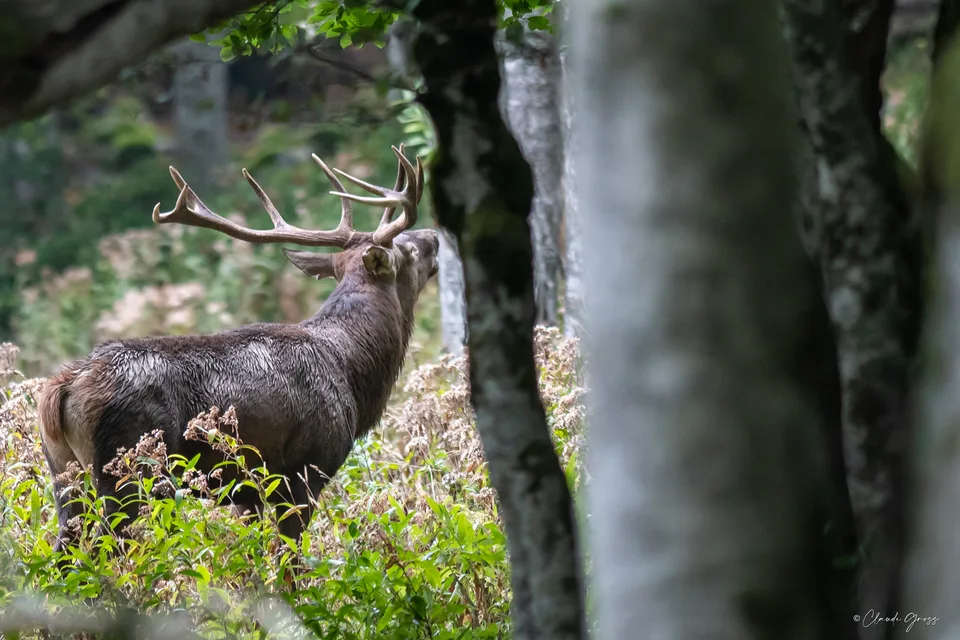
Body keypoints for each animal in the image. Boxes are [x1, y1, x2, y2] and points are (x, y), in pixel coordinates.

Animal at [37, 144, 439, 555]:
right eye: (408, 249)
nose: (434, 235)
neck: (352, 368)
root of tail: (62, 387)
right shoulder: (305, 472)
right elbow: (289, 558)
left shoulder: (246, 490)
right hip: (127, 469)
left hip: (64, 474)